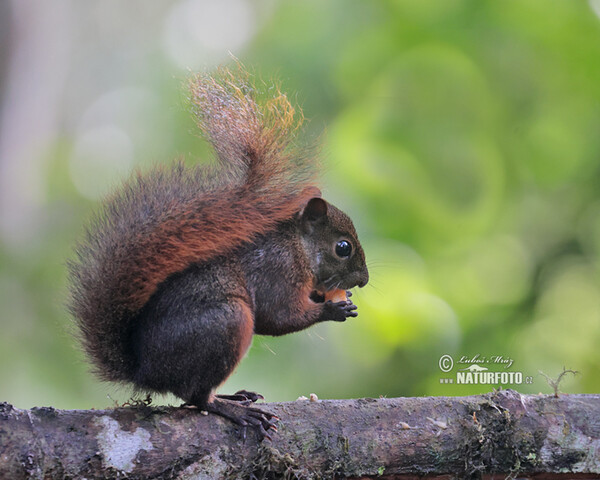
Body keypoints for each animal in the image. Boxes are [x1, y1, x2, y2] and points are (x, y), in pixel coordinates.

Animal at [65, 66, 368, 438]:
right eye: (343, 248)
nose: (364, 280)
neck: (298, 245)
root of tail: (143, 371)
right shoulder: (279, 270)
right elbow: (279, 316)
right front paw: (332, 309)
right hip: (225, 323)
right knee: (195, 396)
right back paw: (229, 408)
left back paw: (233, 396)